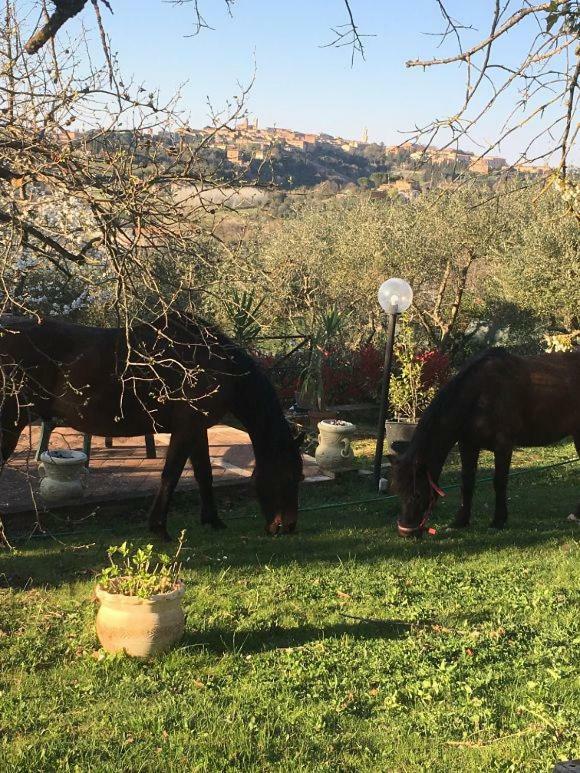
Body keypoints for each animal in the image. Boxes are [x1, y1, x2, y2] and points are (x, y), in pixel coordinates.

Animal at [0, 310, 306, 540]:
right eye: (291, 476)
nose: (287, 526)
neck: (213, 363)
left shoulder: (197, 429)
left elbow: (204, 474)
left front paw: (213, 520)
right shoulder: (185, 430)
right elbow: (170, 475)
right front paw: (159, 528)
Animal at [390, 350, 580, 536]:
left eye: (417, 494)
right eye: (398, 492)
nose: (405, 531)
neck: (480, 396)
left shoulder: (503, 446)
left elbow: (499, 482)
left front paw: (498, 521)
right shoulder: (468, 445)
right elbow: (467, 483)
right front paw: (461, 521)